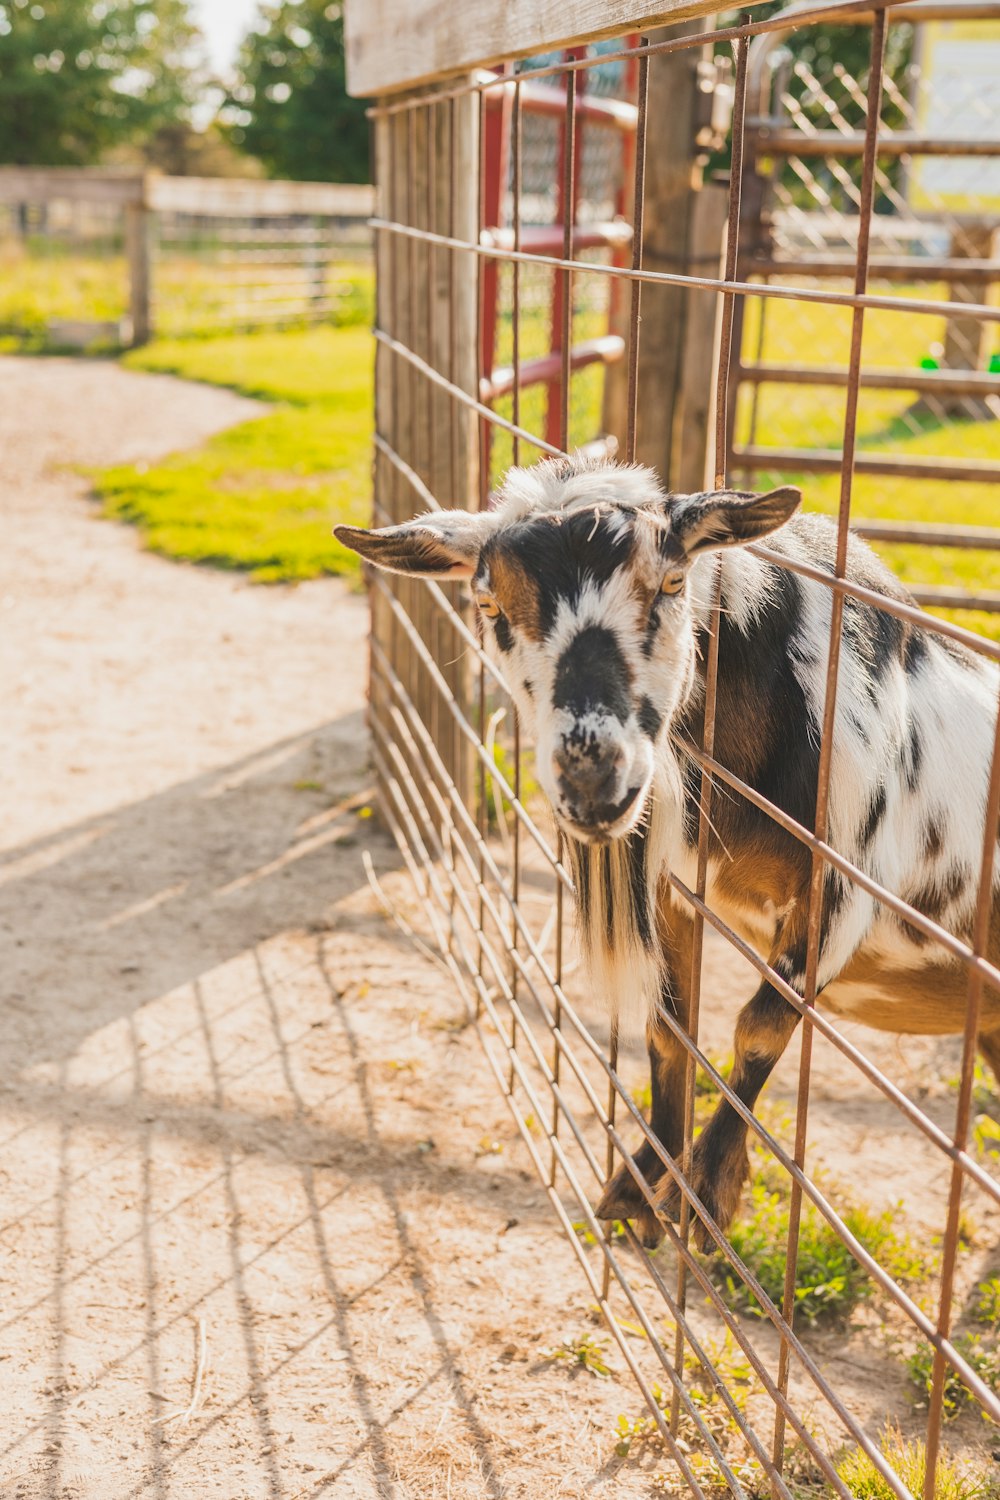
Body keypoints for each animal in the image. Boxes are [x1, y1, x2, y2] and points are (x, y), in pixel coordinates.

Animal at [338, 459, 1000, 1254]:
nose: (593, 780)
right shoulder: (678, 888)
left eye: (674, 582)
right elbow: (667, 1024)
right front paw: (644, 1182)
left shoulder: (845, 887)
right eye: (488, 601)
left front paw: (709, 1190)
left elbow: (760, 1025)